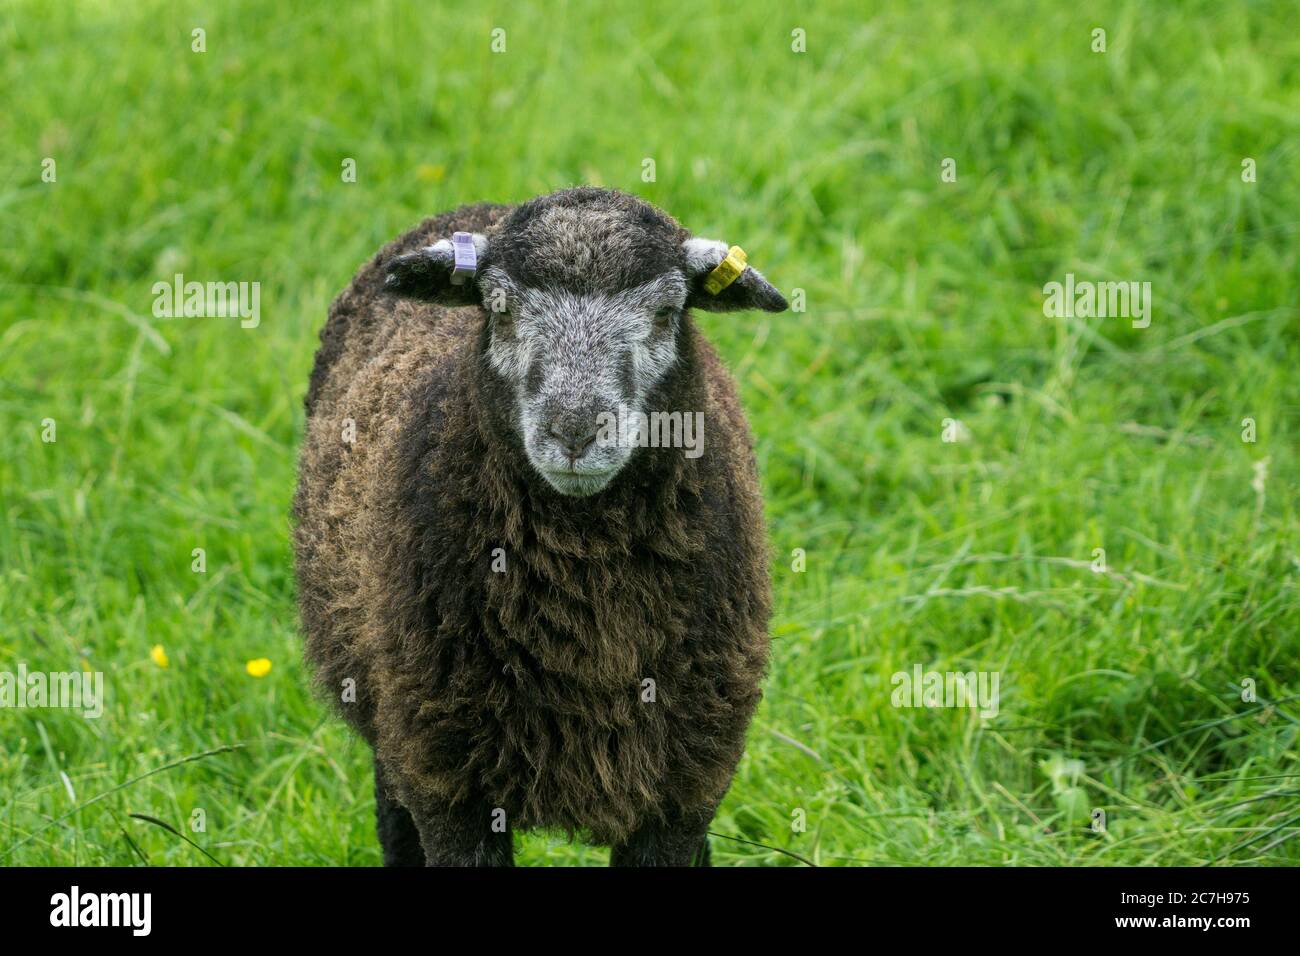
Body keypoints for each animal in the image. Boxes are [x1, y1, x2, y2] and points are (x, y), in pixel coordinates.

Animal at [293, 186, 788, 866]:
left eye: (667, 312)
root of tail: (479, 202)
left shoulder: (684, 787)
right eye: (498, 311)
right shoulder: (448, 781)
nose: (575, 430)